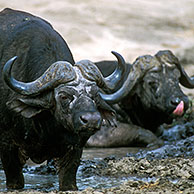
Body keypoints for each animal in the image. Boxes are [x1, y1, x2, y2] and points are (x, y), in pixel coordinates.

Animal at [0, 7, 130, 191]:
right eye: (63, 96)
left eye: (95, 95)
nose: (91, 120)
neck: (44, 127)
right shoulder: (7, 146)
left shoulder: (74, 148)